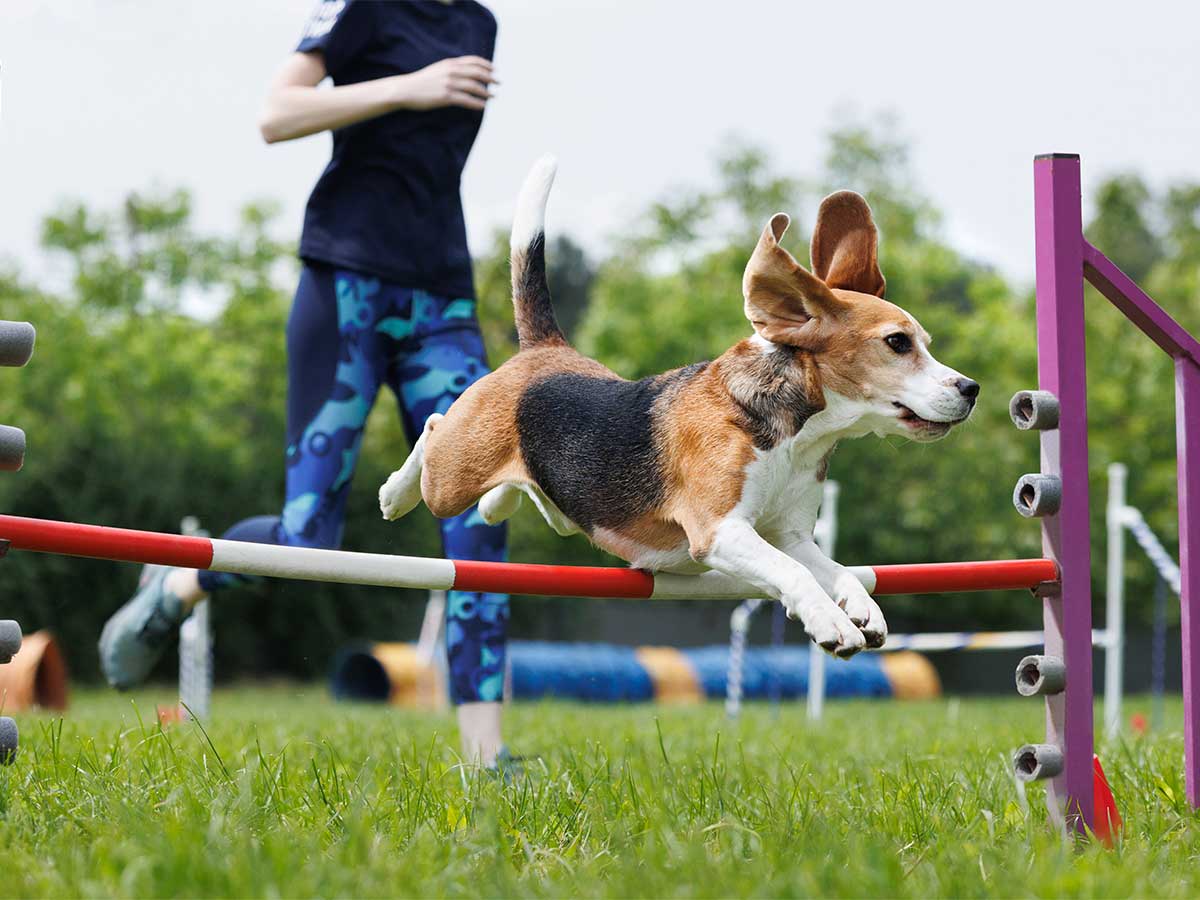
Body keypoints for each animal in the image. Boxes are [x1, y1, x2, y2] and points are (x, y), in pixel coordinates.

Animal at [379, 157, 979, 657]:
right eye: (898, 343)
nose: (970, 388)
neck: (796, 431)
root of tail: (545, 350)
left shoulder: (789, 536)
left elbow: (837, 571)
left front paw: (864, 610)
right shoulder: (722, 531)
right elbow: (794, 574)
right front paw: (829, 623)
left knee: (524, 496)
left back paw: (496, 503)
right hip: (450, 477)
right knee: (433, 428)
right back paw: (394, 493)